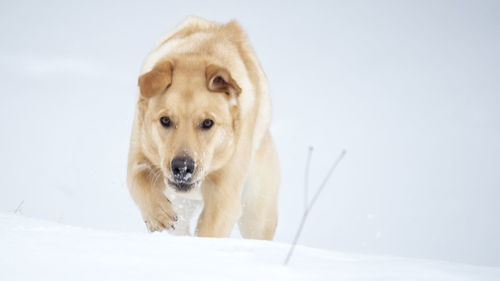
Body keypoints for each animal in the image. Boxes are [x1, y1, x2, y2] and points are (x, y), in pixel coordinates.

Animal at [127, 16, 280, 238]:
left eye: (208, 123)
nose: (182, 167)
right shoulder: (141, 147)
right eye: (165, 120)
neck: (196, 56)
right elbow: (139, 175)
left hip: (257, 210)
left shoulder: (224, 192)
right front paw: (158, 214)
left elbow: (210, 229)